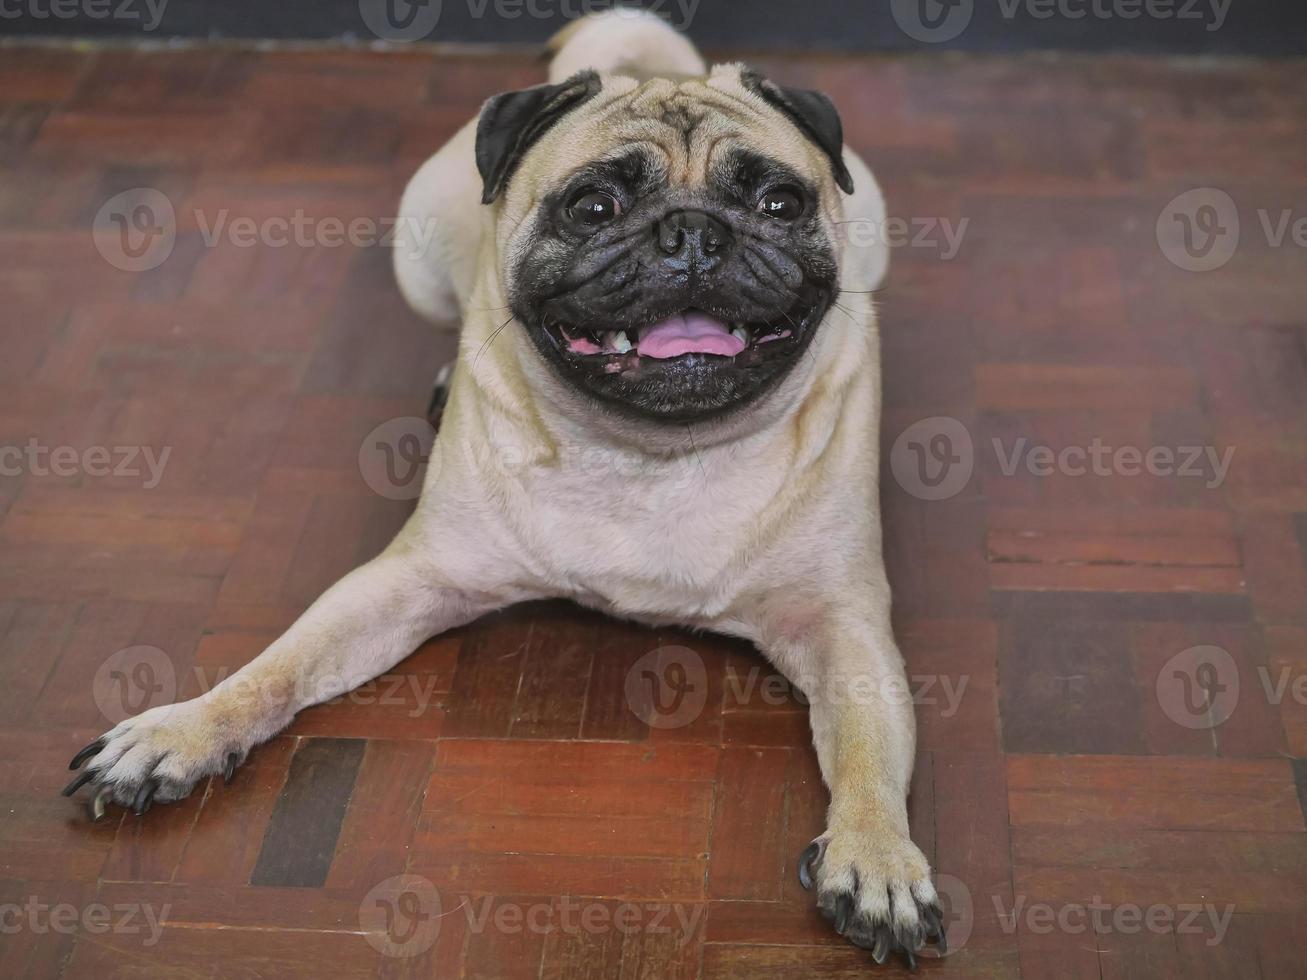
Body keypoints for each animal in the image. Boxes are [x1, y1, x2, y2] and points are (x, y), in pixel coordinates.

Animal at [63, 7, 941, 972]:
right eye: (593, 207)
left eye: (778, 203)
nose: (692, 233)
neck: (650, 454)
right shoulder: (409, 580)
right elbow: (276, 667)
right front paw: (182, 733)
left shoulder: (843, 628)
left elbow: (868, 756)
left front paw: (876, 856)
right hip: (416, 253)